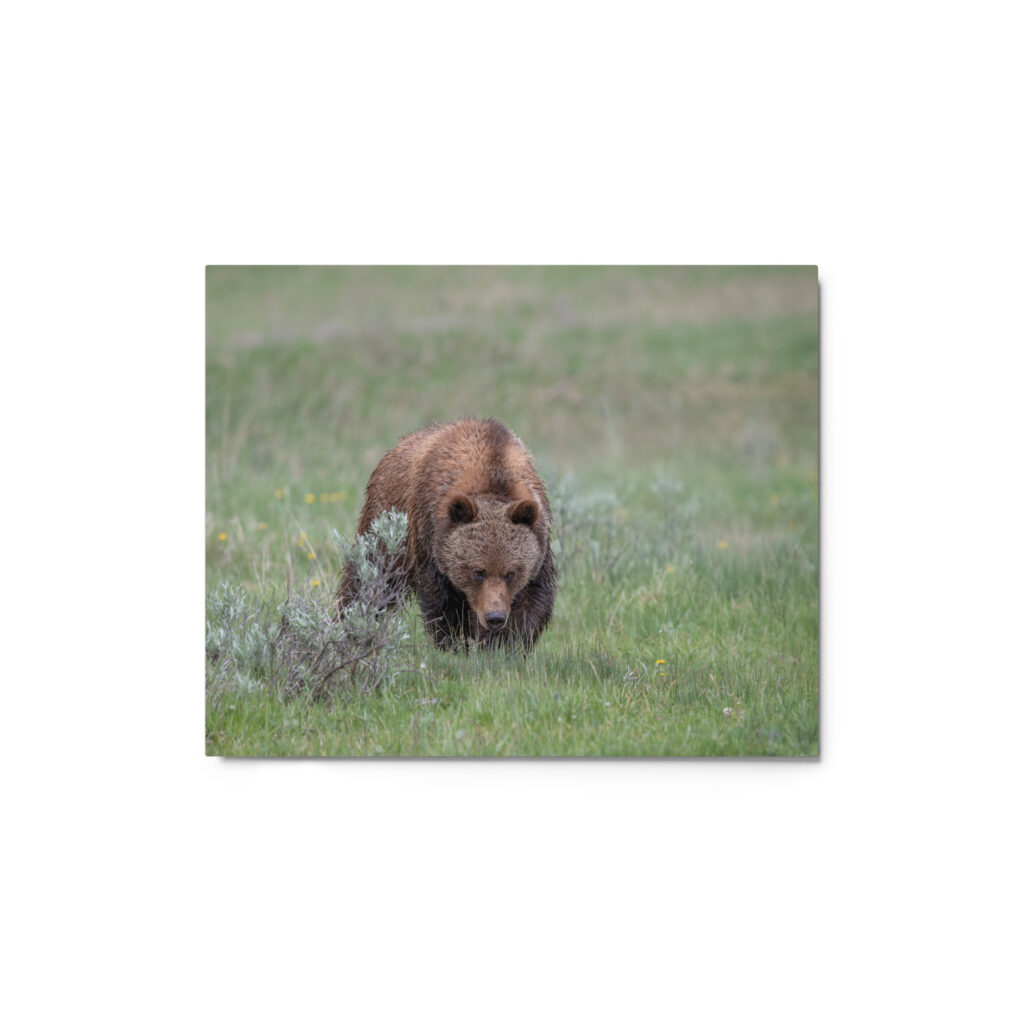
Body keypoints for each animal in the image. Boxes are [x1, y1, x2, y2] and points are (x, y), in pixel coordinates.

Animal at [337, 417, 557, 650]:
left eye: (511, 573)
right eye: (478, 572)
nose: (494, 617)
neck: (493, 475)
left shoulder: (539, 543)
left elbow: (532, 600)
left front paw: (503, 644)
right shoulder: (430, 537)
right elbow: (443, 602)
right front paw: (457, 643)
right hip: (387, 521)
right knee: (370, 577)